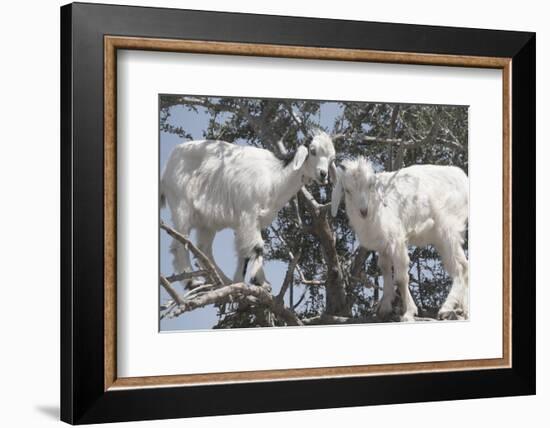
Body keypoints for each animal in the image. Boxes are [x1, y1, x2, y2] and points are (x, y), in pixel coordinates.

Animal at [162, 131, 338, 288]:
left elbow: (244, 251)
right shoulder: (249, 213)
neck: (274, 177)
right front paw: (261, 282)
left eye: (332, 158)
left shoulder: (252, 222)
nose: (323, 174)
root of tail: (167, 167)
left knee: (203, 249)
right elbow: (258, 247)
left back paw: (223, 280)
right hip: (181, 205)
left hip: (206, 222)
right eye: (313, 151)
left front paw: (239, 280)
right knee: (180, 243)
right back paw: (192, 282)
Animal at [332, 157, 470, 320]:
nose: (363, 211)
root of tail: (463, 178)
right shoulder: (383, 245)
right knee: (465, 266)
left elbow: (401, 278)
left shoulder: (397, 240)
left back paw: (446, 308)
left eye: (370, 185)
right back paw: (463, 310)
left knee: (459, 268)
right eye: (347, 190)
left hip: (448, 229)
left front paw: (409, 312)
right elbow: (384, 268)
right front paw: (385, 306)